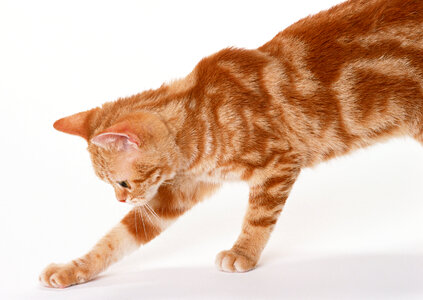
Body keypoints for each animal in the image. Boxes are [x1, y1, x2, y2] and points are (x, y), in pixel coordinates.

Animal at [40, 0, 423, 290]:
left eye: (122, 183)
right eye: (109, 185)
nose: (120, 200)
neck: (200, 115)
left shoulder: (280, 161)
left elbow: (258, 217)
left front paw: (243, 254)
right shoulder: (177, 192)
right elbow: (116, 239)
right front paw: (73, 269)